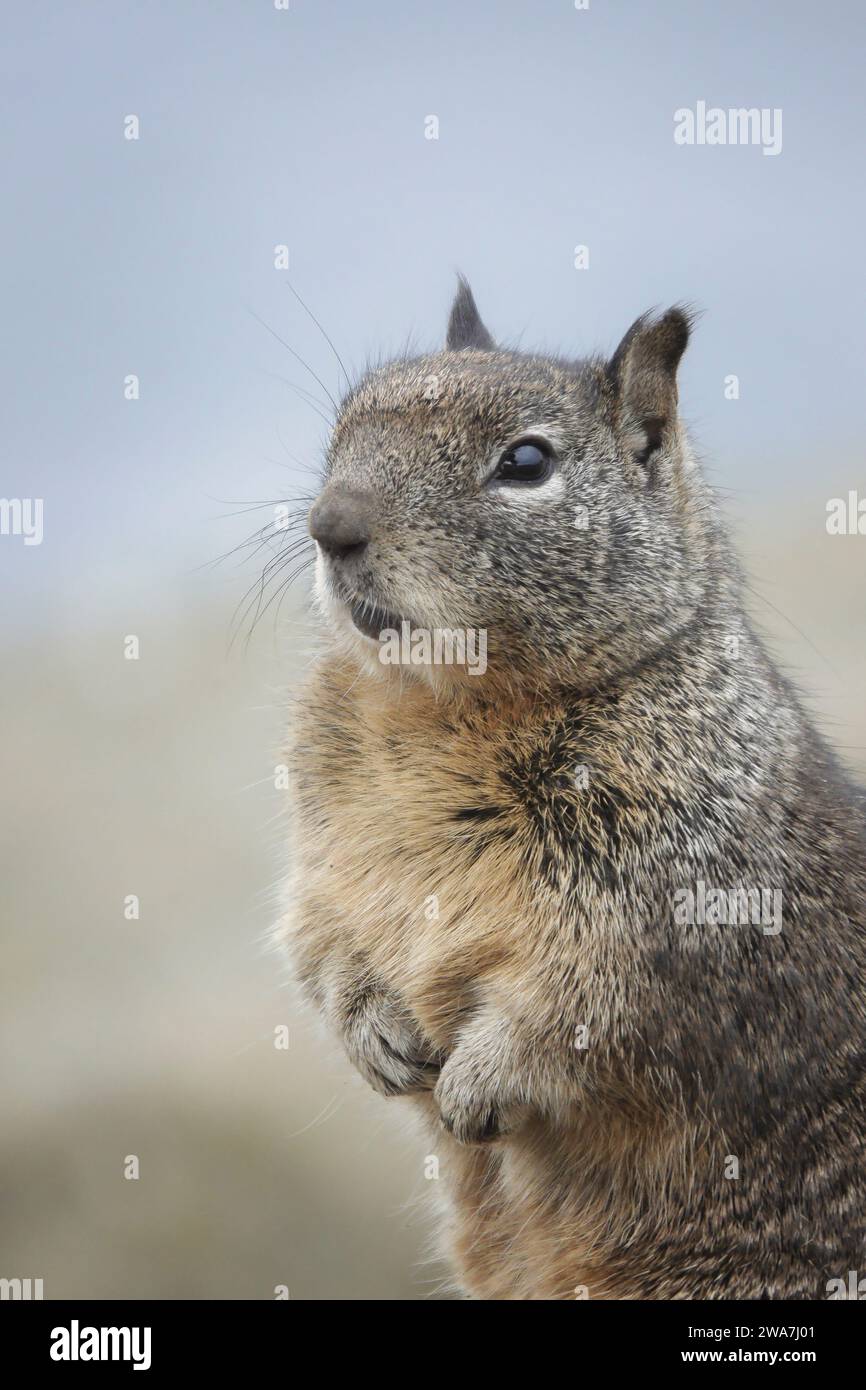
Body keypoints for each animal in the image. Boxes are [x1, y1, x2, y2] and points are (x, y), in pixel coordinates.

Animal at [279, 276, 866, 1295]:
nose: (330, 524)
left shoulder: (676, 895)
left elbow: (584, 1004)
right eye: (341, 429)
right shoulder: (322, 849)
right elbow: (315, 943)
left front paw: (476, 1082)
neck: (441, 705)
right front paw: (374, 1034)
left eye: (526, 461)